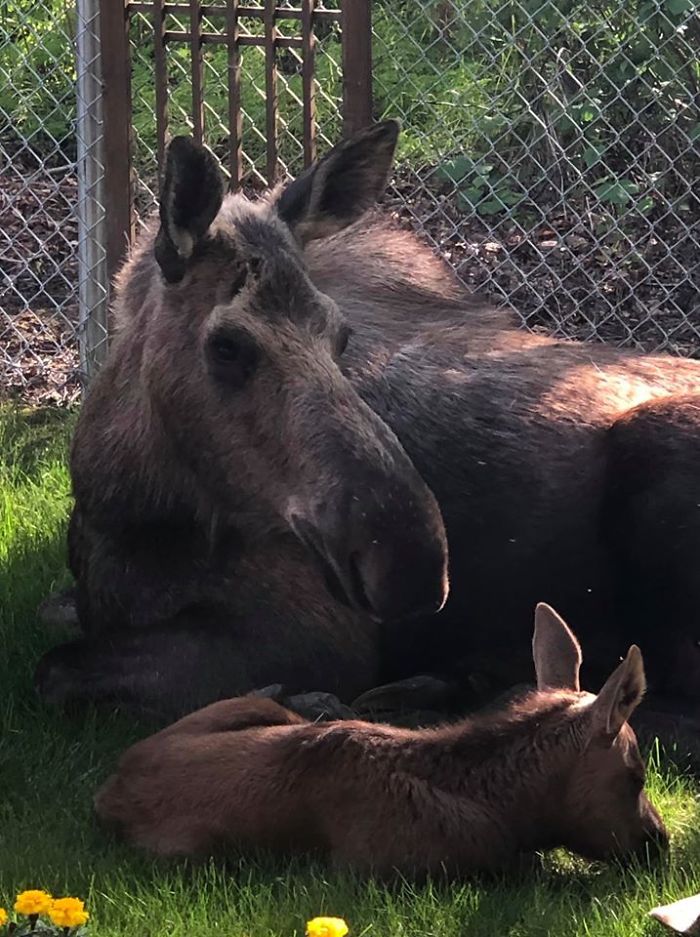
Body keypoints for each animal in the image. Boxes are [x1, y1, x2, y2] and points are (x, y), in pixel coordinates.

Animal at [35, 120, 700, 720]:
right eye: (226, 346)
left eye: (341, 335)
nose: (411, 561)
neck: (131, 502)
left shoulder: (320, 636)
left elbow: (58, 668)